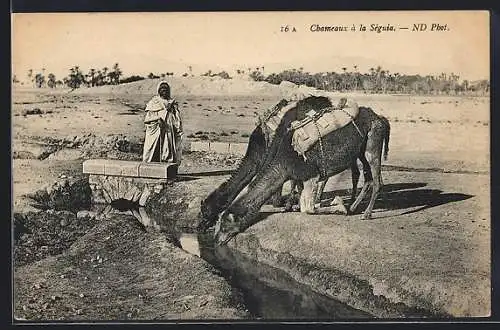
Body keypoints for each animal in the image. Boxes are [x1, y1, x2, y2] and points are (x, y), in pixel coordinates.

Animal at [215, 100, 390, 245]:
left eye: (224, 225)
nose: (216, 240)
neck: (284, 161)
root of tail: (380, 118)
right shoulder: (299, 177)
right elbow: (301, 200)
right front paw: (292, 206)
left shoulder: (311, 175)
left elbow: (308, 209)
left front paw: (339, 205)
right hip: (361, 151)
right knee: (367, 178)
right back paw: (354, 208)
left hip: (372, 143)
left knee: (377, 180)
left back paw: (366, 214)